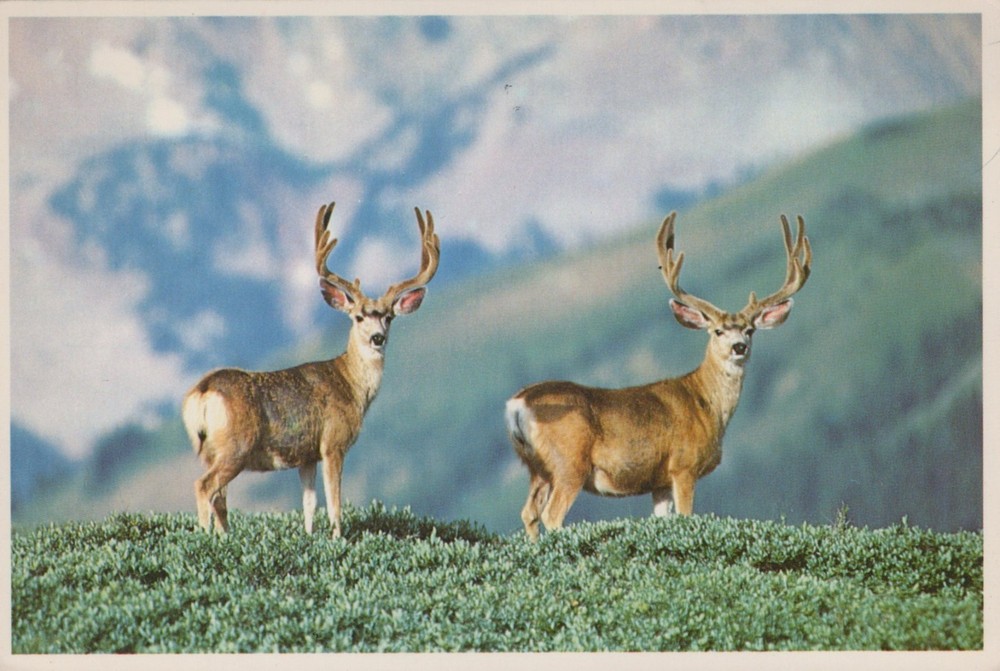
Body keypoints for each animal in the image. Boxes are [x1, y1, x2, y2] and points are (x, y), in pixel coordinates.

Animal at [182, 201, 439, 538]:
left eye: (388, 317)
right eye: (358, 316)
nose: (377, 338)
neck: (350, 385)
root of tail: (203, 390)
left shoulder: (306, 456)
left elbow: (308, 503)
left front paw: (309, 536)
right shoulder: (333, 443)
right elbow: (334, 502)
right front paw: (338, 538)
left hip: (208, 449)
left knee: (219, 497)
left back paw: (225, 536)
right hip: (236, 446)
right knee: (204, 487)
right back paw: (209, 538)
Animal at [505, 212, 811, 539]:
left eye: (750, 330)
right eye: (717, 331)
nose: (739, 347)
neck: (706, 403)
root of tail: (518, 403)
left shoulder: (659, 481)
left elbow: (662, 519)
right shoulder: (683, 466)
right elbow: (687, 515)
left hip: (536, 467)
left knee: (529, 513)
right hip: (568, 463)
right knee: (551, 514)